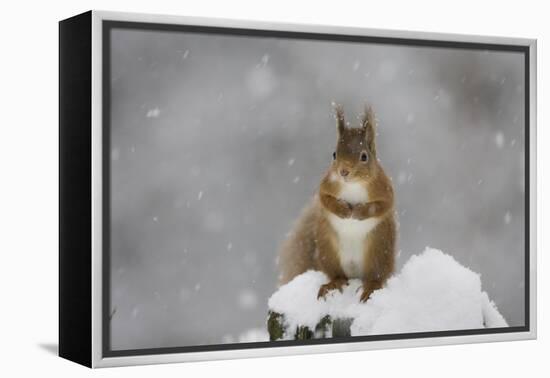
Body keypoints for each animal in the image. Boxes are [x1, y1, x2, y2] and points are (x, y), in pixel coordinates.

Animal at [280, 102, 396, 302]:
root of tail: (355, 274)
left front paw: (358, 212)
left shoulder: (385, 189)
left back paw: (370, 288)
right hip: (329, 252)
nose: (343, 172)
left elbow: (383, 205)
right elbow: (325, 200)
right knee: (337, 275)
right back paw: (332, 284)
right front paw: (343, 210)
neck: (353, 184)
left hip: (379, 250)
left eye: (364, 156)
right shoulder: (326, 186)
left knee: (377, 277)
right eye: (334, 154)